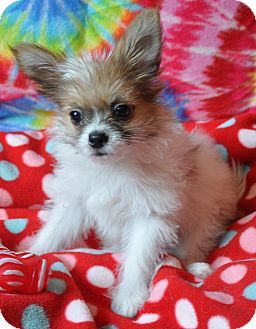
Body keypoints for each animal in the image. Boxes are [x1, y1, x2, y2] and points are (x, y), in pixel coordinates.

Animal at [12, 9, 244, 318]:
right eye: (75, 116)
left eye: (122, 110)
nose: (96, 138)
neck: (113, 166)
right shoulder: (76, 204)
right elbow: (54, 232)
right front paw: (31, 254)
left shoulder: (149, 217)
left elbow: (138, 260)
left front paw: (129, 297)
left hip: (206, 219)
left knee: (190, 249)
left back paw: (197, 267)